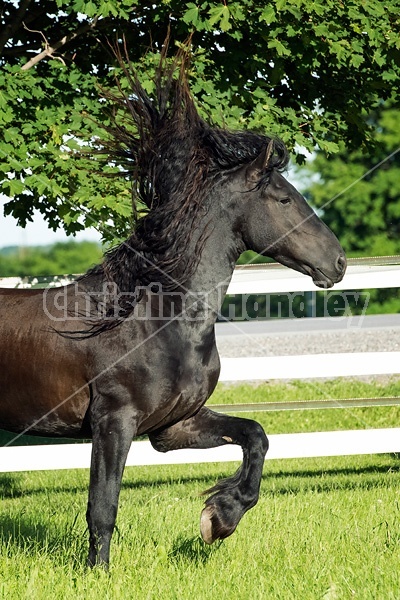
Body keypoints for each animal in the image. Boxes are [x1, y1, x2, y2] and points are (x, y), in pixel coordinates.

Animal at [0, 48, 346, 568]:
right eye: (284, 198)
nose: (338, 262)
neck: (156, 321)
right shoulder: (114, 423)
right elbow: (102, 508)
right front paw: (98, 574)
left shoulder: (173, 425)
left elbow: (256, 435)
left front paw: (219, 518)